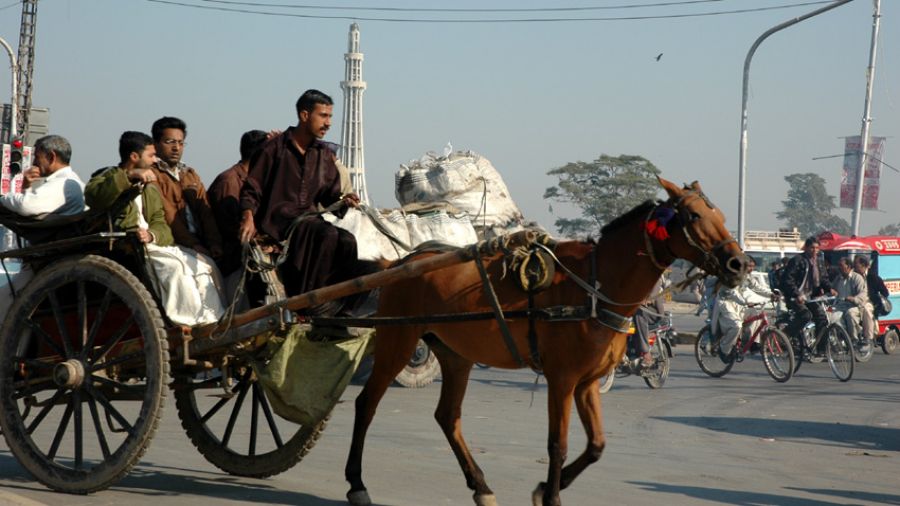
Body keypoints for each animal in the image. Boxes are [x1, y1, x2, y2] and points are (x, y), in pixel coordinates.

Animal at [342, 176, 744, 504]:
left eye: (722, 214)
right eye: (693, 216)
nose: (740, 264)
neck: (594, 286)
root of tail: (399, 262)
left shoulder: (587, 382)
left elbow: (596, 445)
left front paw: (547, 486)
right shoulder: (561, 379)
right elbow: (557, 445)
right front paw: (550, 496)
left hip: (456, 354)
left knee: (447, 416)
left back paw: (480, 485)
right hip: (398, 340)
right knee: (366, 404)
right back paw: (357, 483)